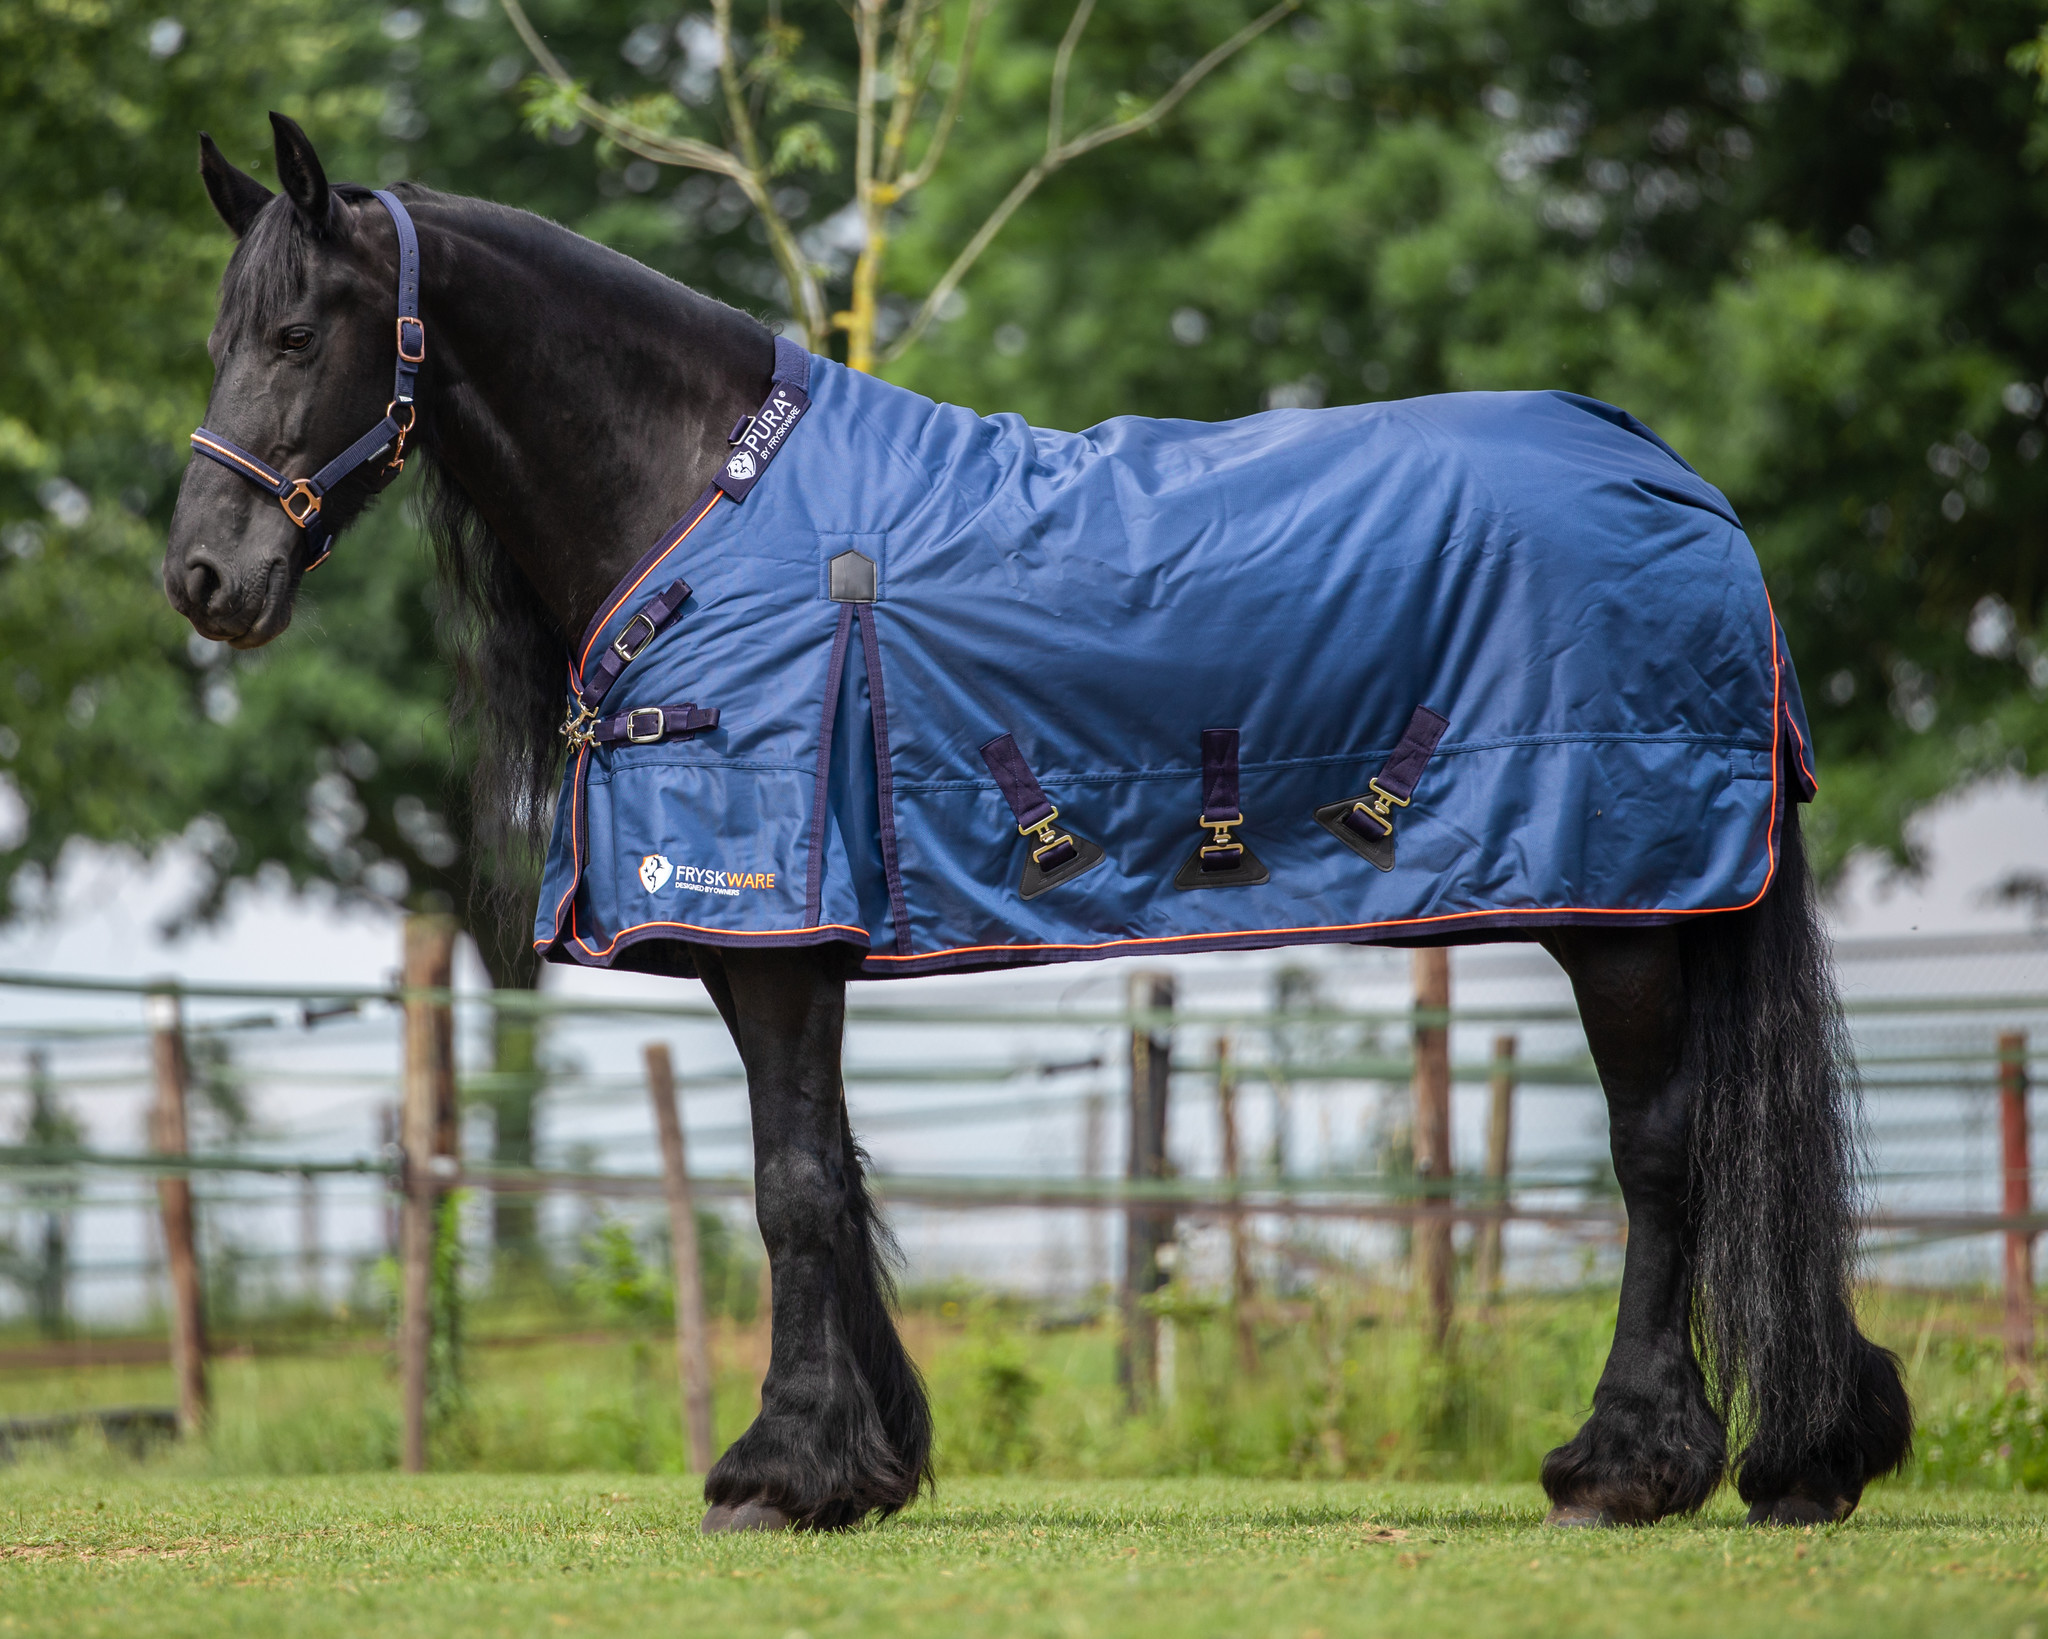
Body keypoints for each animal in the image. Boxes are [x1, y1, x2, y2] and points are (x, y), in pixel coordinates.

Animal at [163, 114, 1911, 1532]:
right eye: (222, 332)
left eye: (298, 329)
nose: (203, 576)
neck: (704, 501)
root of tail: (1679, 483)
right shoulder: (797, 938)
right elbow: (829, 1168)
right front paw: (865, 1461)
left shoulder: (772, 927)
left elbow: (790, 1184)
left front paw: (777, 1471)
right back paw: (1797, 1449)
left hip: (1621, 910)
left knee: (1660, 1156)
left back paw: (1625, 1464)